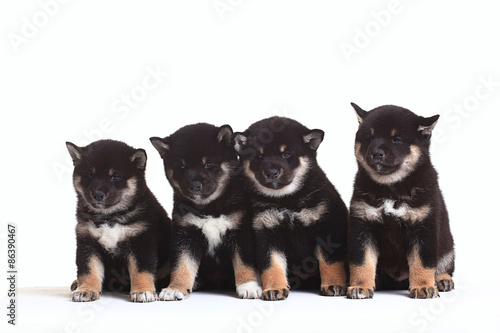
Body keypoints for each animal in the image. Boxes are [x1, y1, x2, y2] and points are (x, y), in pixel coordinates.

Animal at [66, 139, 172, 302]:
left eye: (115, 177)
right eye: (90, 175)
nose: (98, 194)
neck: (110, 217)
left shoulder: (142, 240)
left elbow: (141, 270)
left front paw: (143, 290)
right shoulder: (87, 241)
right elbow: (88, 270)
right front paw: (86, 290)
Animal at [149, 123, 262, 300]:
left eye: (208, 164)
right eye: (181, 166)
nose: (194, 186)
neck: (209, 207)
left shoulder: (241, 233)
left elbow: (244, 263)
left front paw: (248, 285)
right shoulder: (185, 235)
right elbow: (182, 264)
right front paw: (176, 288)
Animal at [233, 115, 348, 300]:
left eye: (286, 154)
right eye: (259, 155)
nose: (272, 172)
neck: (286, 200)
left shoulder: (326, 225)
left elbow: (330, 262)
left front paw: (333, 284)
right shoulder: (267, 230)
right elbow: (272, 265)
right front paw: (274, 288)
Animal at [348, 103, 454, 298]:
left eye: (396, 139)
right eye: (370, 138)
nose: (377, 153)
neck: (391, 189)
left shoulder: (424, 227)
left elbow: (422, 263)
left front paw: (423, 286)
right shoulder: (363, 226)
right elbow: (362, 262)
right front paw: (360, 286)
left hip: (447, 247)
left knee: (443, 266)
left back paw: (442, 279)